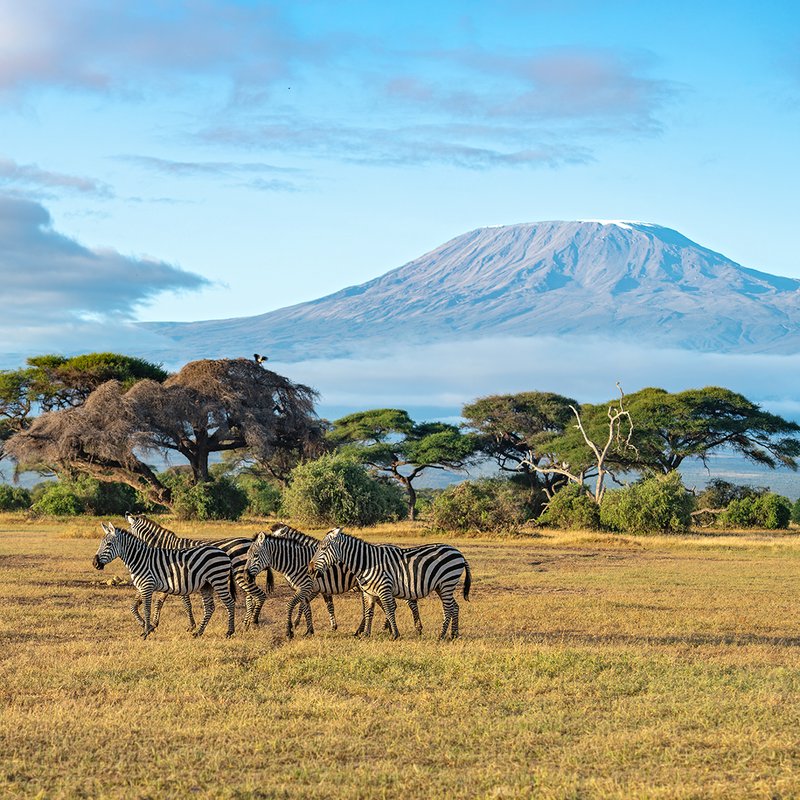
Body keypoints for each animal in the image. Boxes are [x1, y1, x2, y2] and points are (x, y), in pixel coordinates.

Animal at [92, 522, 236, 639]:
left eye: (109, 544)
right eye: (100, 544)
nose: (95, 563)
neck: (139, 558)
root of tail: (223, 553)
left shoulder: (147, 585)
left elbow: (146, 609)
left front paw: (146, 632)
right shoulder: (141, 586)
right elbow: (133, 607)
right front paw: (147, 626)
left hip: (218, 580)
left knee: (229, 603)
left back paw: (229, 632)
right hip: (206, 585)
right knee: (209, 607)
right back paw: (198, 632)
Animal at [124, 513, 273, 630]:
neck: (165, 548)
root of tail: (250, 541)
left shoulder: (179, 579)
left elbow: (186, 604)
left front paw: (191, 626)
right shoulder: (167, 580)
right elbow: (157, 601)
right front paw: (152, 623)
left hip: (241, 575)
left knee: (258, 596)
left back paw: (251, 623)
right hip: (246, 576)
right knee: (251, 598)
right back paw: (245, 625)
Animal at [246, 523, 422, 639]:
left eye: (255, 555)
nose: (247, 576)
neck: (297, 560)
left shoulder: (308, 587)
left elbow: (295, 605)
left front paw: (291, 630)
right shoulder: (314, 589)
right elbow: (310, 607)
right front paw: (310, 630)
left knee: (409, 602)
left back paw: (416, 628)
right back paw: (379, 628)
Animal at [310, 528, 471, 640]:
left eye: (323, 548)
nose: (310, 569)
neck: (366, 563)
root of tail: (458, 552)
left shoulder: (384, 588)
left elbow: (388, 609)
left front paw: (395, 634)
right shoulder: (369, 592)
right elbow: (369, 612)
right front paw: (366, 634)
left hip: (447, 582)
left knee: (448, 608)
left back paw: (442, 635)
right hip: (441, 586)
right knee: (455, 606)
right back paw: (454, 634)